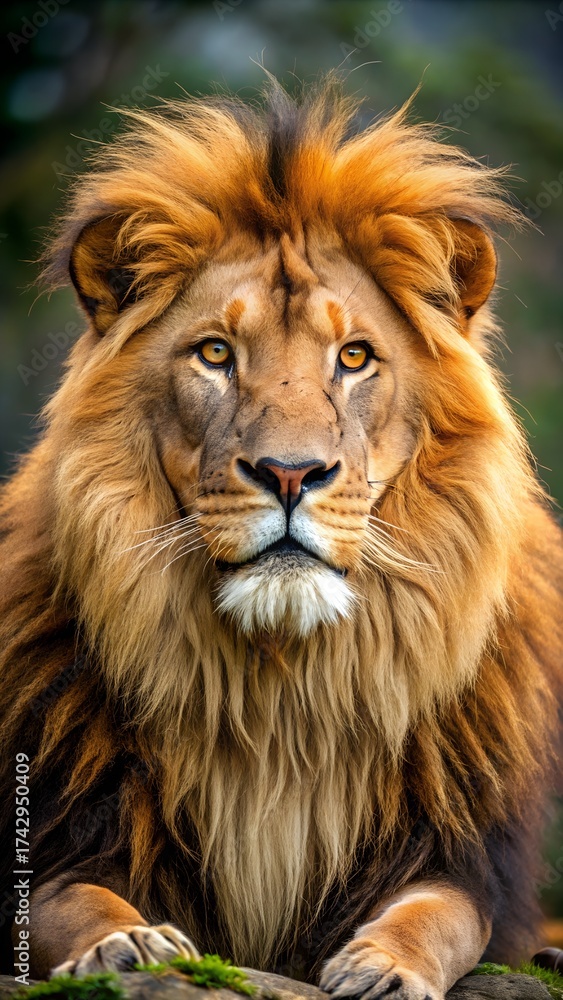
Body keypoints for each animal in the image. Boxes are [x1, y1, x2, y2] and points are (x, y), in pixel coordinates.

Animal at [0, 77, 561, 998]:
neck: (280, 693)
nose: (290, 474)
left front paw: (384, 966)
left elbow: (441, 916)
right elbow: (68, 901)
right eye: (215, 353)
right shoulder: (67, 830)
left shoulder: (457, 854)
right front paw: (130, 943)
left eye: (355, 357)